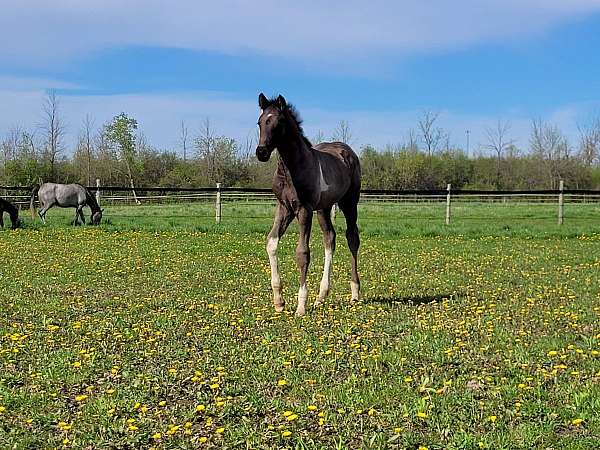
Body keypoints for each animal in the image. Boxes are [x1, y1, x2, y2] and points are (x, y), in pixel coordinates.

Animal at [254, 92, 358, 314]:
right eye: (260, 122)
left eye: (278, 122)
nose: (261, 152)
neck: (291, 168)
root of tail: (347, 151)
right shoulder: (284, 207)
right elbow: (271, 243)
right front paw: (279, 301)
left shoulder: (304, 209)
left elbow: (303, 253)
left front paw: (301, 305)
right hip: (324, 209)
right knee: (330, 238)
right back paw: (321, 296)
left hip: (349, 202)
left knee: (352, 238)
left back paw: (355, 293)